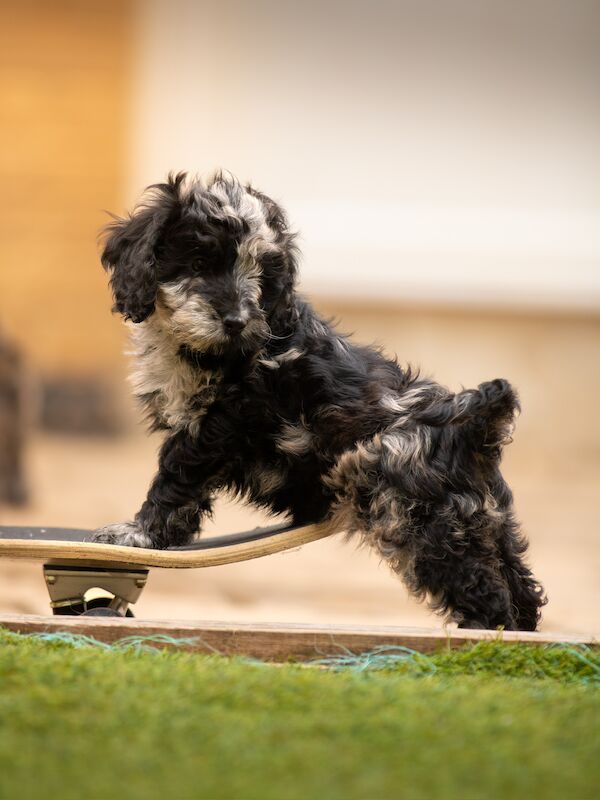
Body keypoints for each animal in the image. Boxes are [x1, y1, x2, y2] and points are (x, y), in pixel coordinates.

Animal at [91, 173, 548, 632]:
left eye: (261, 273)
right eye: (200, 262)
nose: (237, 321)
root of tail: (471, 427)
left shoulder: (215, 428)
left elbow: (175, 482)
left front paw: (138, 535)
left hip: (415, 513)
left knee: (486, 596)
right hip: (483, 520)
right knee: (520, 591)